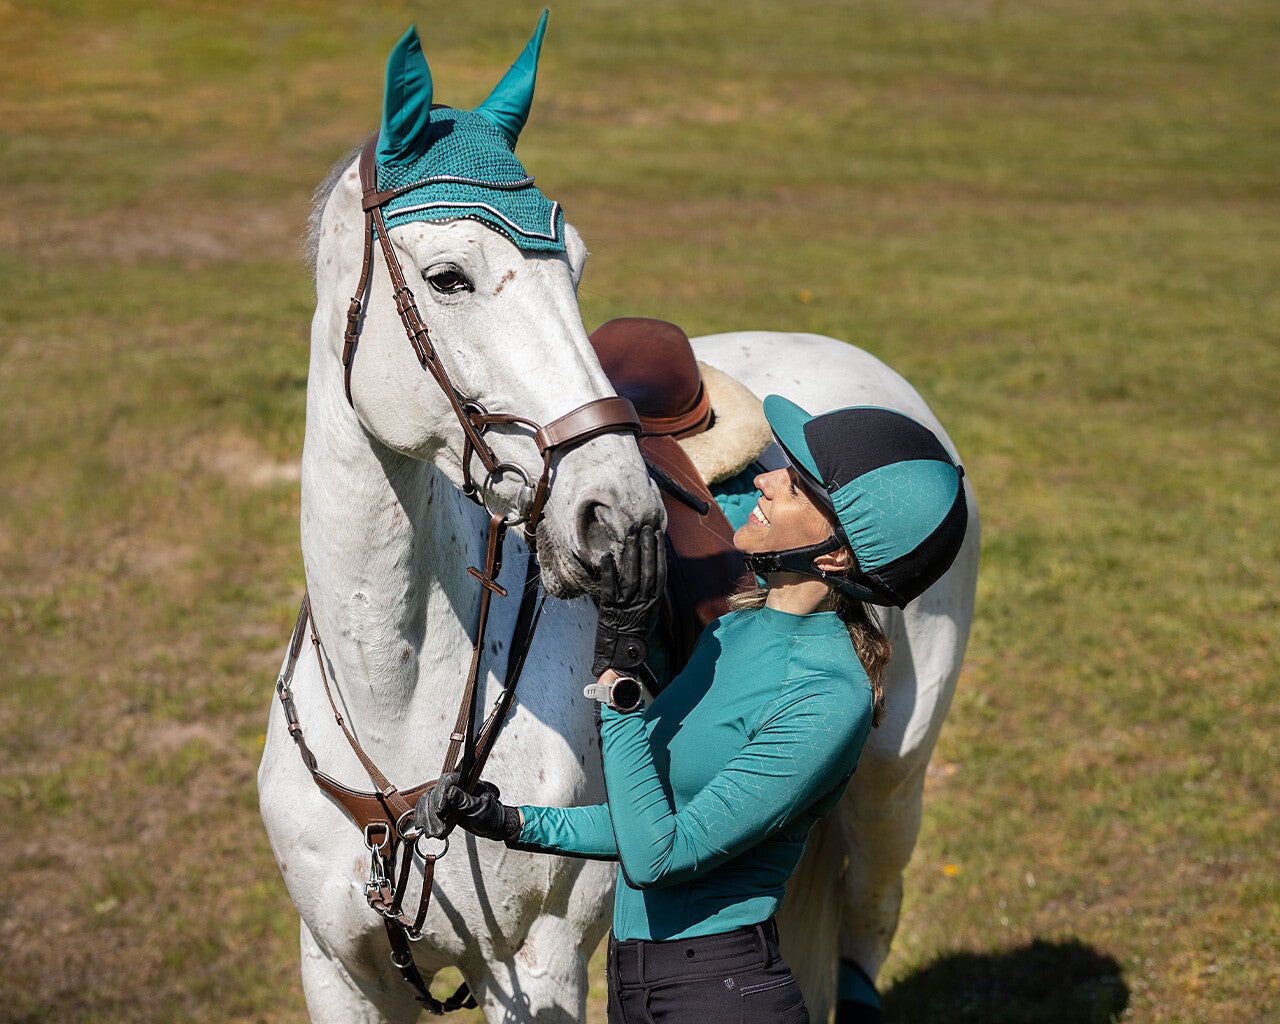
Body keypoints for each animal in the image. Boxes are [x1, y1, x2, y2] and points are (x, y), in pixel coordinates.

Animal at [259, 16, 977, 1024]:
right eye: (447, 277)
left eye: (579, 266)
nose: (623, 521)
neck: (394, 705)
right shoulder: (338, 967)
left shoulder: (538, 965)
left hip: (890, 784)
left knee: (869, 920)